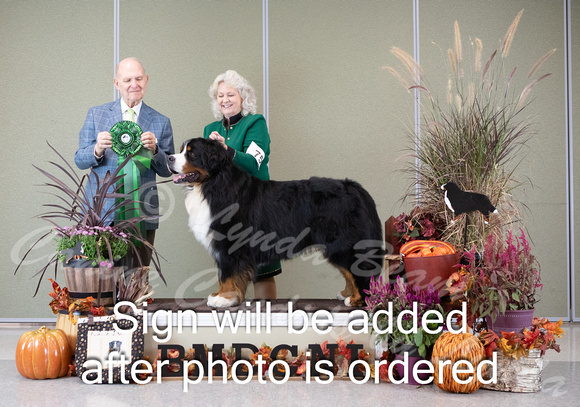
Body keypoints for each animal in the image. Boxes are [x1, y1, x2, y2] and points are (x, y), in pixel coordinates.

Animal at [168, 139, 386, 308]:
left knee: (360, 269)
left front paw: (224, 299)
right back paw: (347, 294)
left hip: (344, 244)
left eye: (192, 153)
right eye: (181, 149)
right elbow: (224, 274)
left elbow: (227, 274)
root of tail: (355, 187)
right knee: (349, 271)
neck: (212, 184)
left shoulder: (230, 243)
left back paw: (359, 299)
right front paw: (220, 295)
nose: (169, 157)